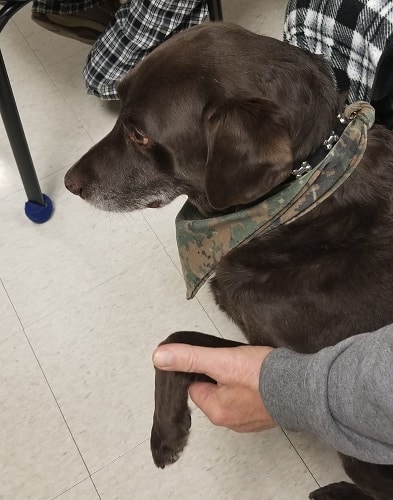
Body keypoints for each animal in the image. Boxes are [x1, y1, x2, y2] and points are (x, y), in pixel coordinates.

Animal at [64, 23, 392, 500]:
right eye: (118, 103)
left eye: (140, 134)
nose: (68, 184)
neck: (300, 202)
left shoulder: (271, 354)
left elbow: (175, 341)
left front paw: (166, 433)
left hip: (359, 452)